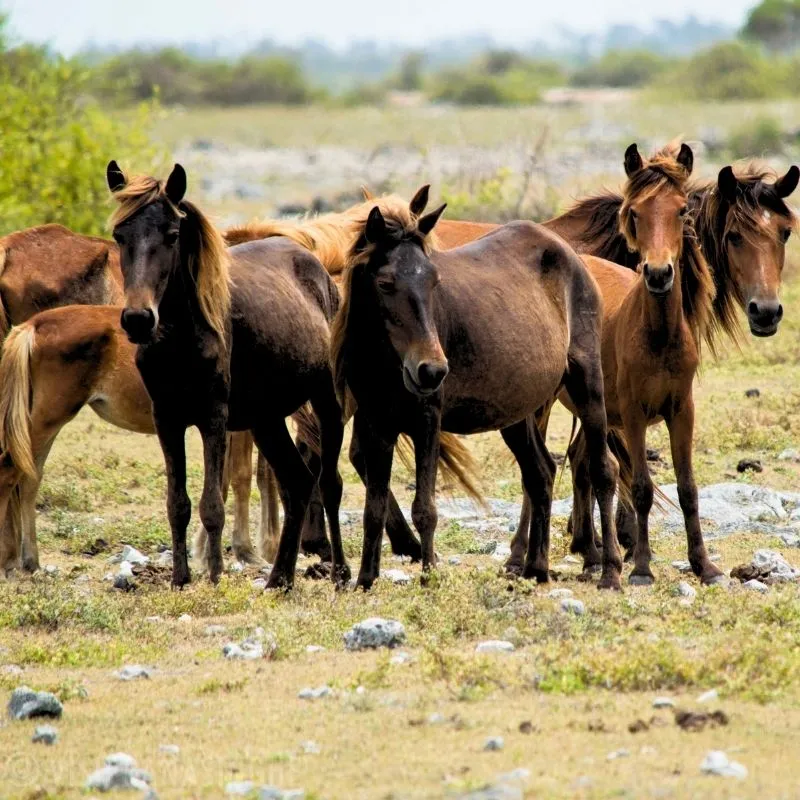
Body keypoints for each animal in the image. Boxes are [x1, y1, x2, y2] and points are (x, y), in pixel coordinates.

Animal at [106, 162, 346, 589]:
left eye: (172, 235)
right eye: (120, 235)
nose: (137, 319)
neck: (181, 338)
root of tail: (316, 265)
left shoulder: (213, 417)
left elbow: (212, 504)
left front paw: (215, 575)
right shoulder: (167, 419)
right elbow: (178, 503)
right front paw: (181, 579)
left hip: (325, 401)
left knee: (330, 484)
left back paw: (340, 573)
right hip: (268, 419)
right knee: (298, 483)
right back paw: (280, 578)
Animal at [331, 188, 622, 590]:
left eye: (434, 281)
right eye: (385, 283)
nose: (432, 370)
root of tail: (569, 254)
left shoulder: (427, 419)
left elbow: (425, 508)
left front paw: (429, 577)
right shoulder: (377, 424)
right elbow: (373, 508)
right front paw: (365, 580)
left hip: (586, 385)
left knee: (602, 469)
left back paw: (610, 571)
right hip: (517, 414)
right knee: (541, 473)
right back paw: (536, 568)